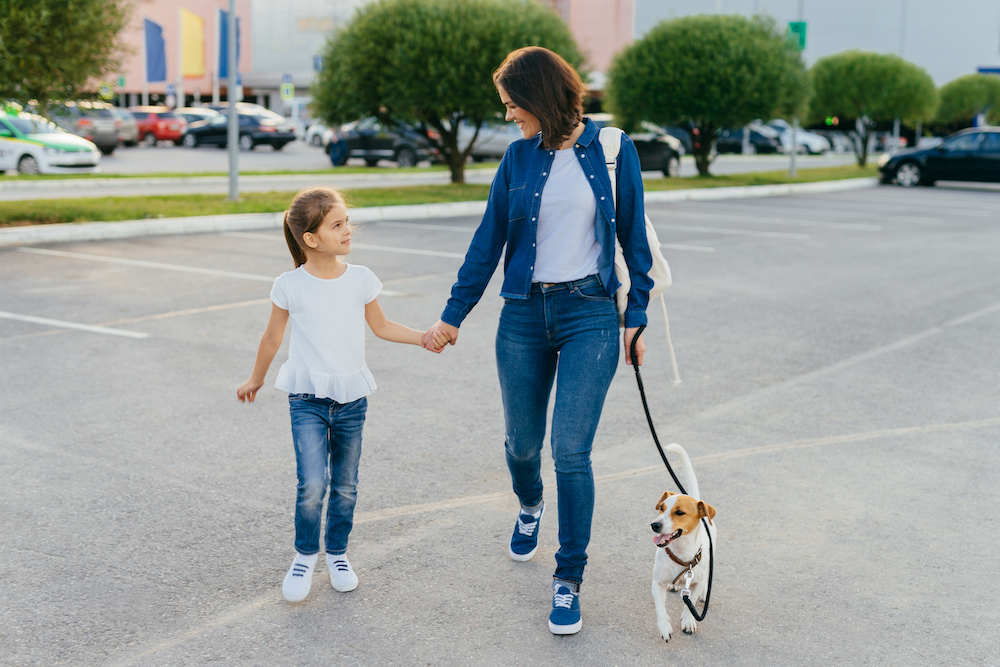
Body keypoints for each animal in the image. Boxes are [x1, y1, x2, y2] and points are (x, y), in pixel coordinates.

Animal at [652, 444, 716, 640]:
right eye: (661, 508)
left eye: (679, 512)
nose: (654, 525)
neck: (680, 552)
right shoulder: (657, 583)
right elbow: (660, 609)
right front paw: (664, 627)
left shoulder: (695, 583)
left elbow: (691, 602)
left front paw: (688, 621)